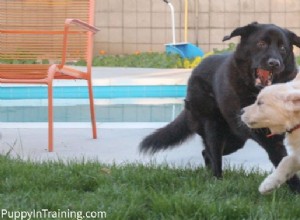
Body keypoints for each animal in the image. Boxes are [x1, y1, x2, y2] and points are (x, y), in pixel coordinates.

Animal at [140, 21, 300, 192]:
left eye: (282, 48)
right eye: (261, 43)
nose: (274, 63)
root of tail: (195, 69)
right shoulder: (268, 139)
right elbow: (284, 162)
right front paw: (294, 189)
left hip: (235, 140)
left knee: (206, 152)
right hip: (213, 126)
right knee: (213, 153)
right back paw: (216, 181)